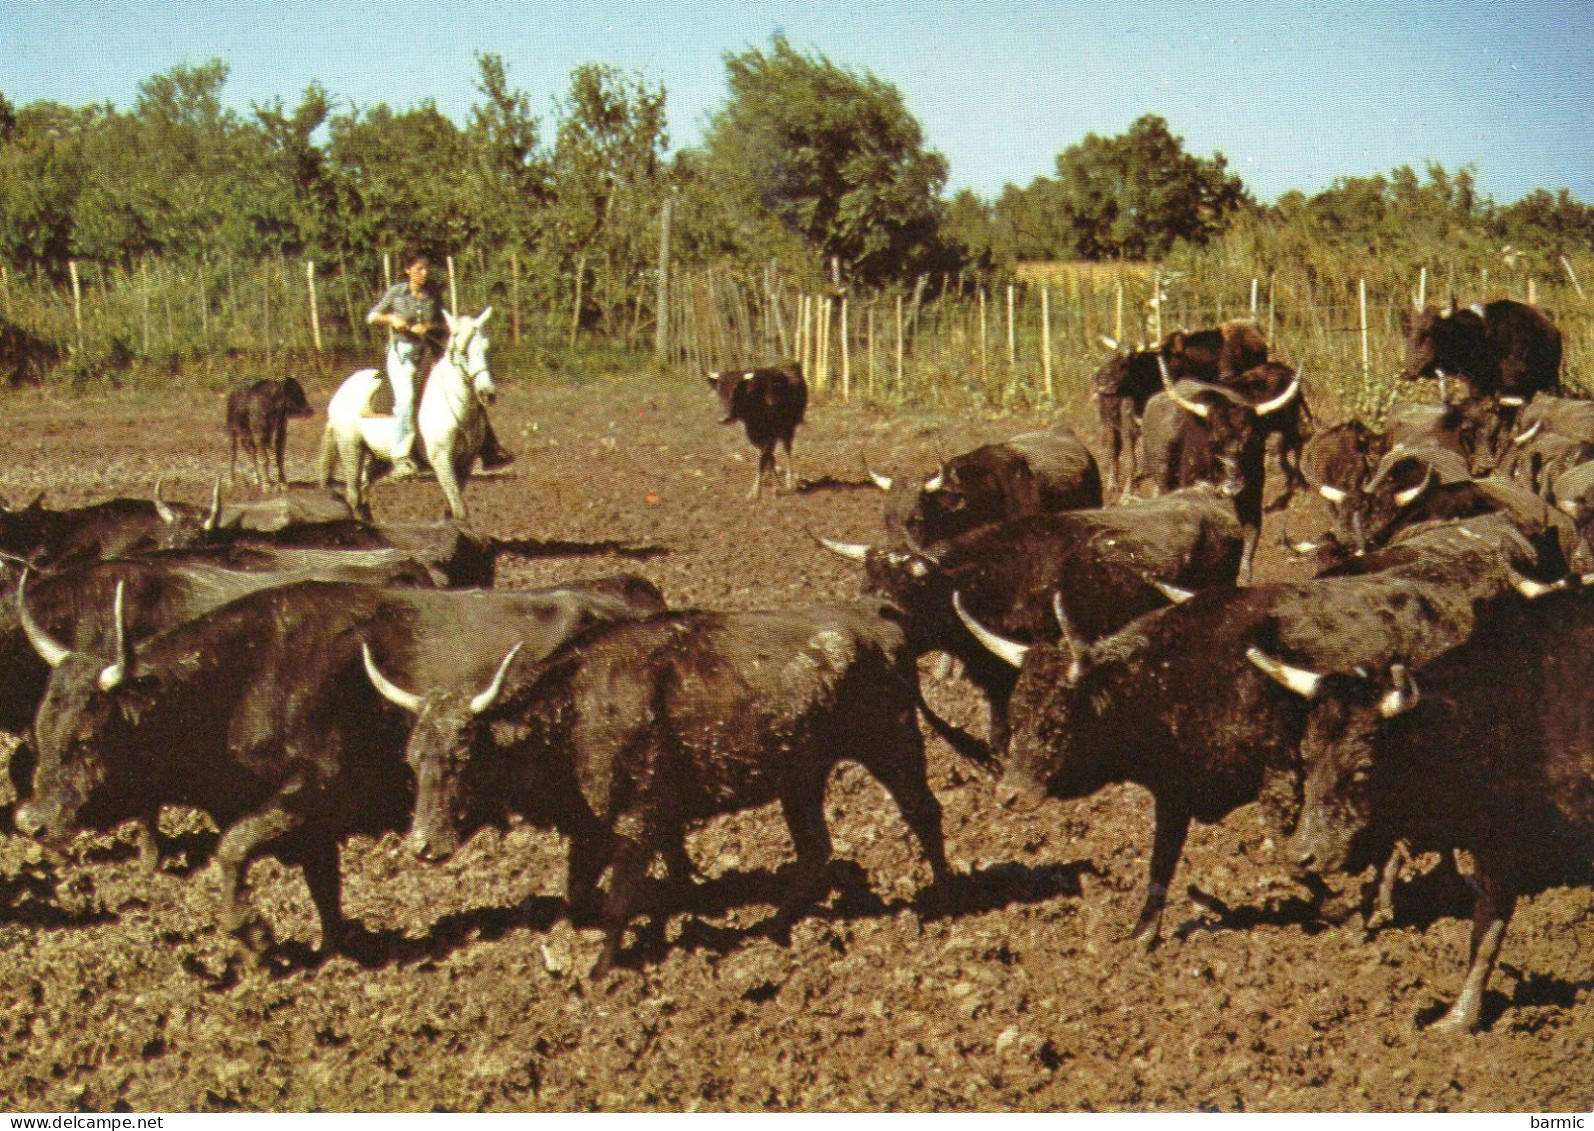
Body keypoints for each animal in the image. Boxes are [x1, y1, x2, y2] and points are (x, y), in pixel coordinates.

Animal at [320, 307, 494, 525]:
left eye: (486, 347)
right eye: (463, 351)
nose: (487, 393)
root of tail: (342, 390)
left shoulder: (466, 463)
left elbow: (453, 506)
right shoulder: (441, 460)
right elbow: (459, 507)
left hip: (380, 457)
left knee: (364, 487)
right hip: (351, 449)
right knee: (353, 493)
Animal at [710, 364, 809, 503]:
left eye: (736, 392)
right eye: (719, 392)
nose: (724, 418)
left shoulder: (771, 435)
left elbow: (762, 461)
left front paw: (756, 493)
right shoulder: (755, 435)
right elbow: (766, 458)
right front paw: (766, 485)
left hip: (788, 429)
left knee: (787, 450)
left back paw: (788, 482)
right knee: (771, 456)